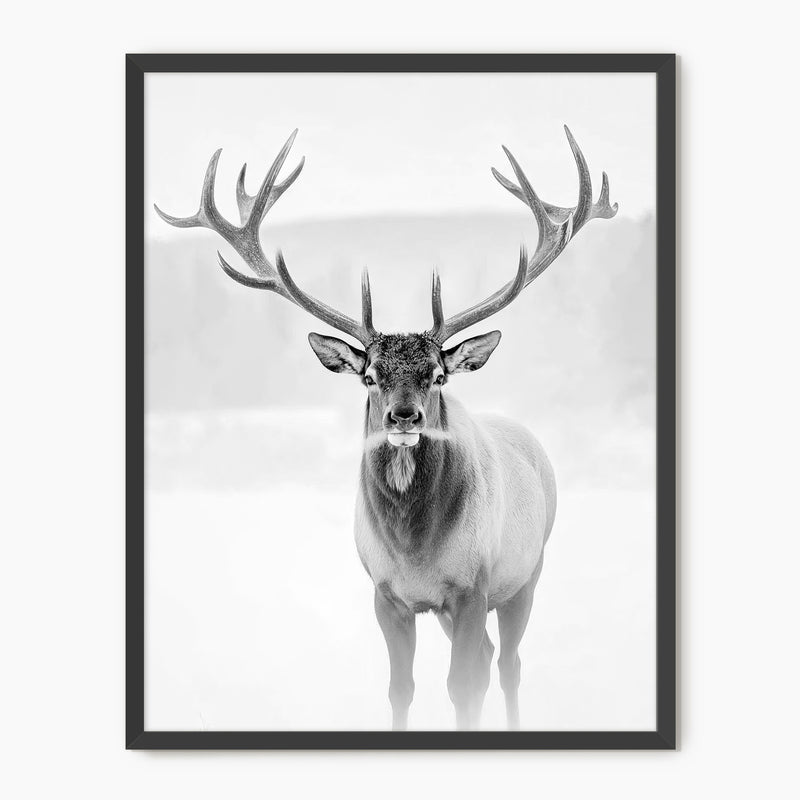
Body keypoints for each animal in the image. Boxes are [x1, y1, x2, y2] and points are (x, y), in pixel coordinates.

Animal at [155, 127, 617, 731]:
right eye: (370, 375)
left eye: (438, 375)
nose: (403, 416)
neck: (414, 549)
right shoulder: (385, 594)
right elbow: (402, 688)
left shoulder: (472, 585)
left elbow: (462, 686)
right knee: (491, 656)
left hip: (527, 572)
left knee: (508, 664)